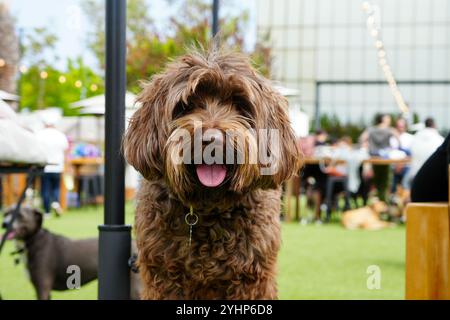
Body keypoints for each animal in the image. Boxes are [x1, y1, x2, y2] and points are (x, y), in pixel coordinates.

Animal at [1, 208, 142, 300]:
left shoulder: (43, 288)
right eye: (6, 213)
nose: (5, 224)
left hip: (135, 289)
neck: (34, 240)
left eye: (19, 215)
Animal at [122, 48, 302, 300]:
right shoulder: (163, 276)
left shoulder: (252, 278)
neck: (209, 208)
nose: (212, 140)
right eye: (187, 105)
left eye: (239, 104)